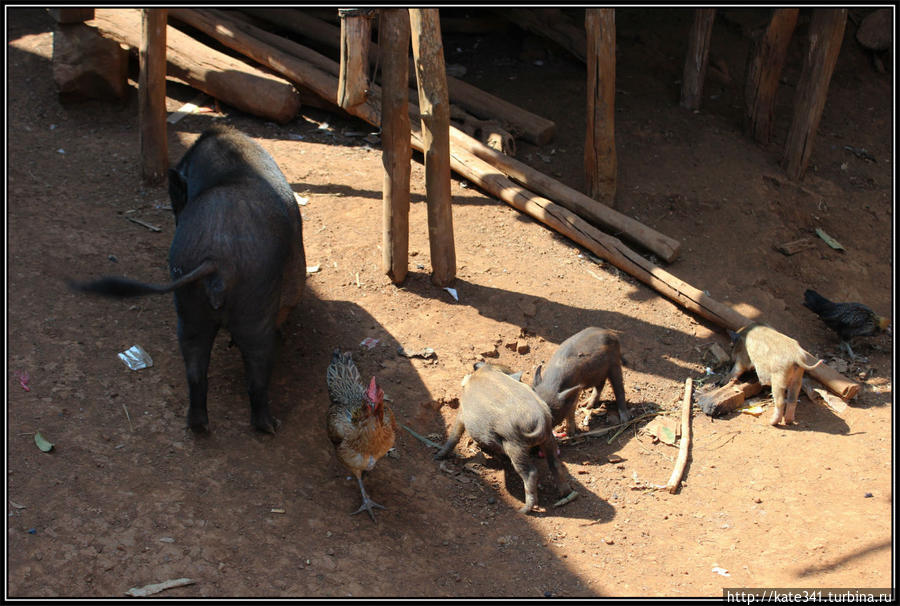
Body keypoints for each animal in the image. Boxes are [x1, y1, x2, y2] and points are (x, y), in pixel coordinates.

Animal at [69, 126, 306, 434]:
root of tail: (219, 260)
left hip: (189, 305)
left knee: (195, 368)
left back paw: (198, 425)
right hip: (255, 308)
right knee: (257, 370)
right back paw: (269, 425)